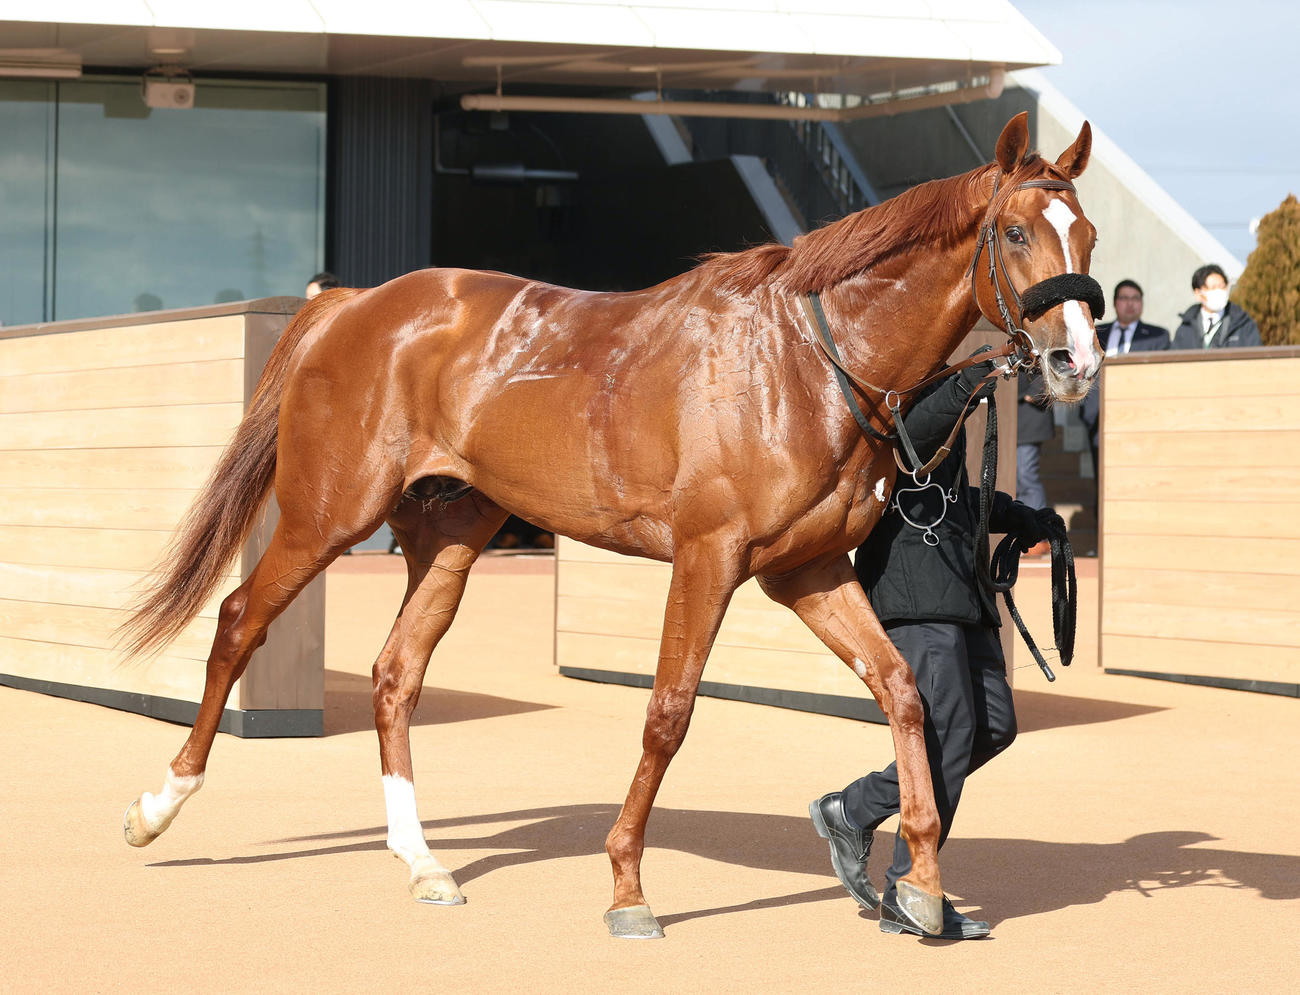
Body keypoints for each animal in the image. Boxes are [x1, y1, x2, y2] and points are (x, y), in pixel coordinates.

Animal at [120, 112, 1102, 939]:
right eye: (1018, 232)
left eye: (1086, 234)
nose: (1076, 361)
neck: (804, 361)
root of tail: (355, 303)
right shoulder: (708, 558)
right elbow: (668, 713)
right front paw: (628, 886)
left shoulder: (807, 571)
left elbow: (902, 691)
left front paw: (923, 883)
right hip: (328, 513)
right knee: (239, 620)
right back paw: (159, 805)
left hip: (450, 535)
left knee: (396, 674)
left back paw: (424, 861)